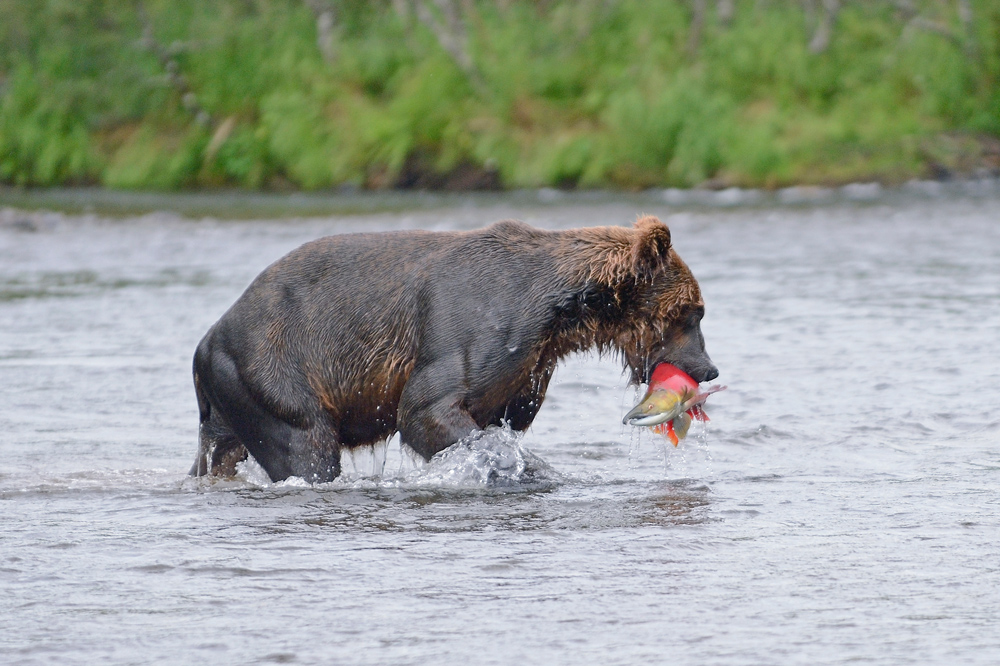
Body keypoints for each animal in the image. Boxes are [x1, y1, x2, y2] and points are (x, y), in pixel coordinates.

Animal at [191, 215, 716, 480]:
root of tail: (206, 342)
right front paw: (529, 469)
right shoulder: (478, 329)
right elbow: (427, 410)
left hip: (230, 402)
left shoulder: (530, 366)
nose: (708, 368)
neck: (562, 309)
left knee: (218, 453)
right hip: (274, 370)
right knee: (306, 447)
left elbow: (503, 417)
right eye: (694, 312)